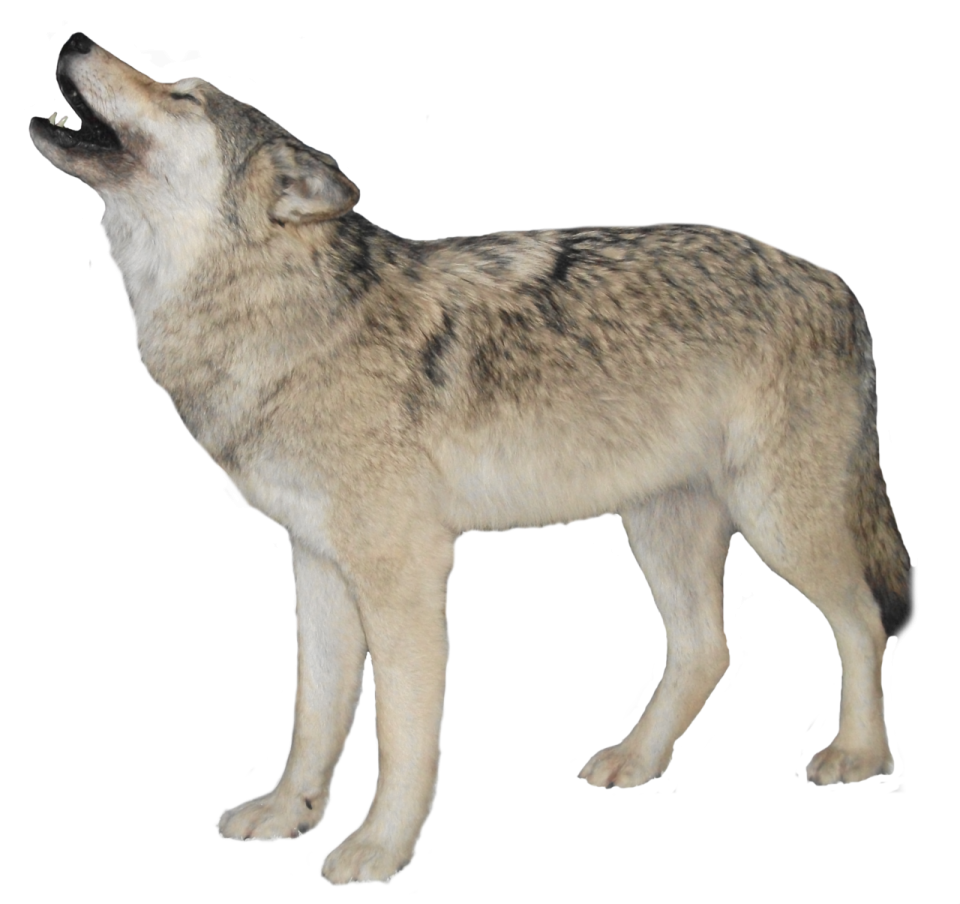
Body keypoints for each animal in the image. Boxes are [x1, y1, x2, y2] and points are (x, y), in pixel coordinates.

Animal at [31, 32, 916, 885]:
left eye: (182, 93)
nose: (71, 35)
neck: (284, 321)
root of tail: (835, 283)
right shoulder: (316, 562)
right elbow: (314, 715)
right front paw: (289, 814)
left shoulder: (406, 572)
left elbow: (400, 736)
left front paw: (378, 849)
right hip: (659, 530)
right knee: (708, 648)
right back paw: (636, 759)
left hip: (779, 526)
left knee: (863, 623)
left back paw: (860, 755)